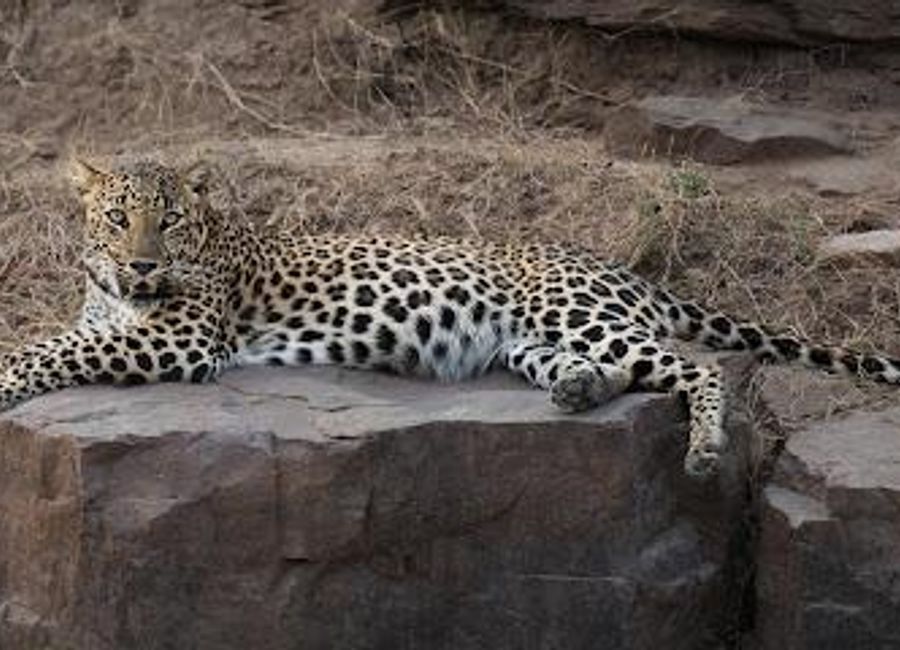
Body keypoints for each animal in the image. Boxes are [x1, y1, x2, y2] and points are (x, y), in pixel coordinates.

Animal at [3, 159, 899, 478]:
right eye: (118, 219)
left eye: (170, 222)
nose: (142, 264)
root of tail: (620, 265)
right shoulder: (117, 319)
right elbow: (60, 335)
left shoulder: (182, 337)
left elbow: (49, 349)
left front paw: (7, 377)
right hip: (527, 342)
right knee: (612, 369)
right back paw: (577, 392)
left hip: (573, 308)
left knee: (698, 367)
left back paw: (706, 450)